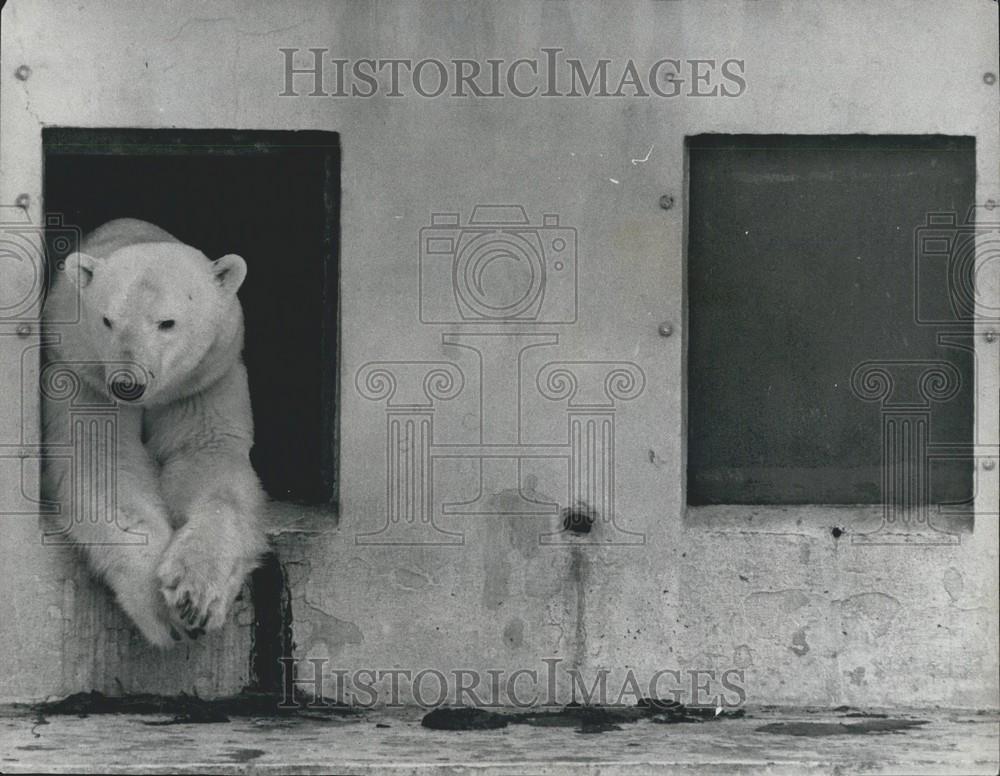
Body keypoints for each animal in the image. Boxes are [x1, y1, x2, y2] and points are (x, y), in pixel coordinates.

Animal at [43, 217, 266, 644]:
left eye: (167, 323)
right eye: (107, 320)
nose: (128, 384)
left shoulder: (202, 384)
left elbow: (208, 466)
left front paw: (195, 597)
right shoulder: (86, 379)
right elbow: (106, 468)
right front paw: (162, 610)